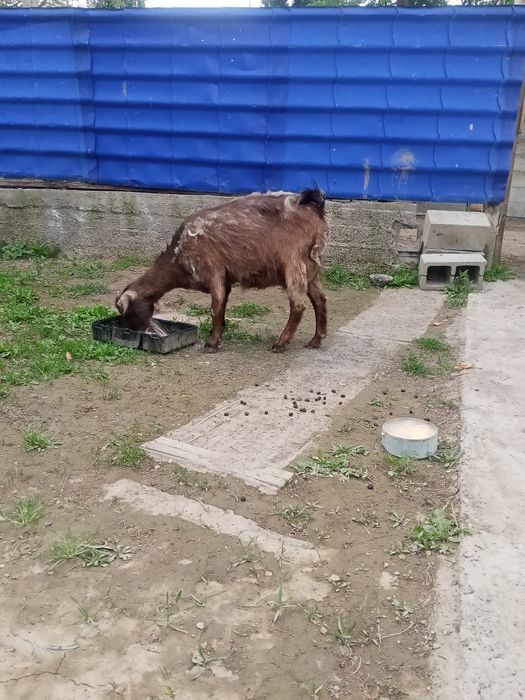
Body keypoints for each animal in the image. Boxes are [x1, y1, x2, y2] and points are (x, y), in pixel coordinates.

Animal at [115, 187, 329, 353]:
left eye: (126, 311)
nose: (134, 331)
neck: (179, 254)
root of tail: (313, 206)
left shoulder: (213, 272)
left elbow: (216, 307)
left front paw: (212, 343)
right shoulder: (225, 280)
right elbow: (223, 305)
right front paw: (221, 333)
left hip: (293, 263)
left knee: (298, 305)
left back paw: (280, 343)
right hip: (311, 267)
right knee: (320, 299)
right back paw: (315, 340)